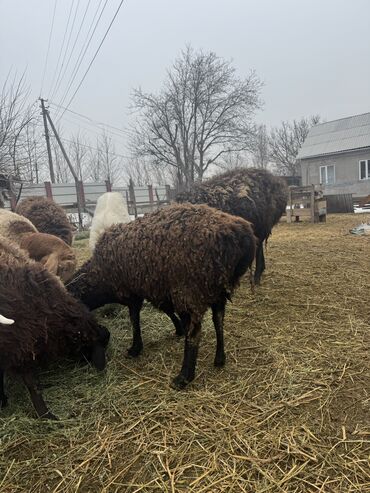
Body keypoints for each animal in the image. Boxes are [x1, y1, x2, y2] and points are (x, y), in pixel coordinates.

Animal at [68, 203, 256, 388]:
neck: (100, 275)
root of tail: (238, 231)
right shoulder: (158, 287)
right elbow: (166, 310)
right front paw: (178, 329)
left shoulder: (133, 293)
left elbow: (135, 319)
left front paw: (135, 348)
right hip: (216, 288)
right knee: (218, 319)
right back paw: (219, 358)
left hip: (189, 289)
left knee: (194, 333)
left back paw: (184, 377)